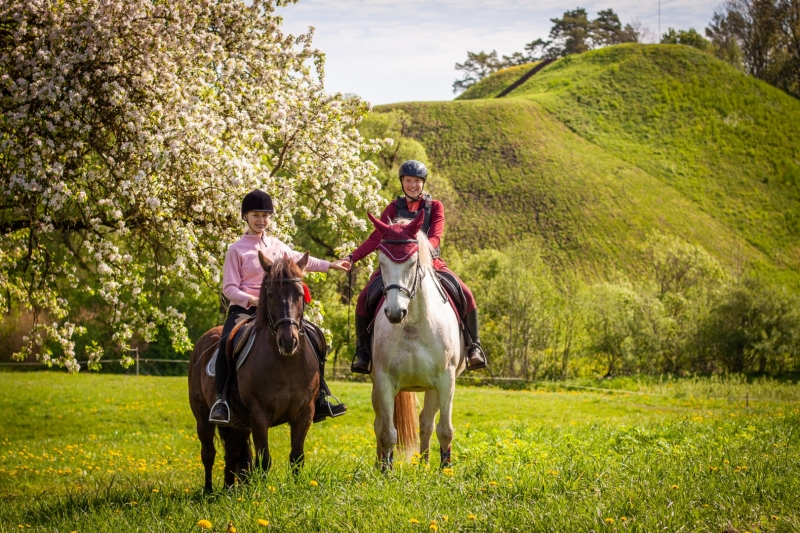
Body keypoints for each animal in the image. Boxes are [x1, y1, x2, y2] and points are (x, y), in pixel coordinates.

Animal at [189, 251, 320, 488]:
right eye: (270, 294)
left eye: (299, 294)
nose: (288, 341)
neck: (286, 365)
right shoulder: (259, 416)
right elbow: (264, 459)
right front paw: (264, 491)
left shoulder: (304, 413)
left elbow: (296, 457)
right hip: (203, 416)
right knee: (208, 454)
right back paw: (209, 490)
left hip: (239, 425)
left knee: (231, 454)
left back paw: (229, 489)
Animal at [366, 210, 466, 468]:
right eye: (381, 263)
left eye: (412, 262)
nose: (394, 312)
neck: (412, 325)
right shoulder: (384, 381)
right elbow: (388, 432)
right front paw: (386, 471)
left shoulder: (446, 380)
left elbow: (445, 430)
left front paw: (444, 470)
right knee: (380, 424)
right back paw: (379, 464)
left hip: (434, 387)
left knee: (426, 423)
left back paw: (424, 464)